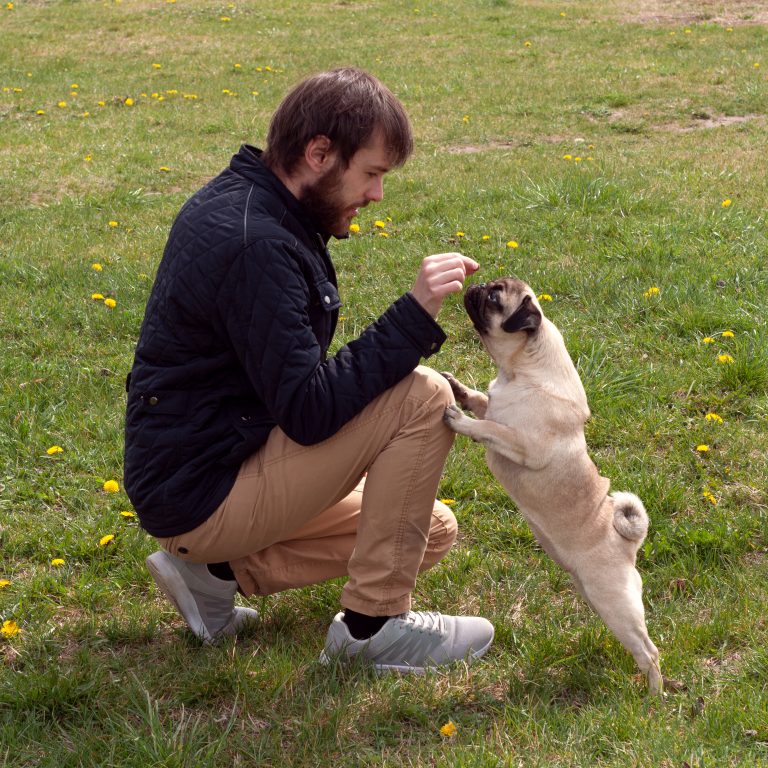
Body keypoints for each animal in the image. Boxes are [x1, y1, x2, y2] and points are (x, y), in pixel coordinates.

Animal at [444, 280, 660, 692]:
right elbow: (482, 401)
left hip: (615, 603)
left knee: (649, 652)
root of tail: (627, 542)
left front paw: (461, 420)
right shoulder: (495, 405)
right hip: (597, 598)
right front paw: (459, 390)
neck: (519, 372)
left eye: (494, 297)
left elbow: (489, 427)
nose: (477, 285)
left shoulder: (522, 444)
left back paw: (654, 696)